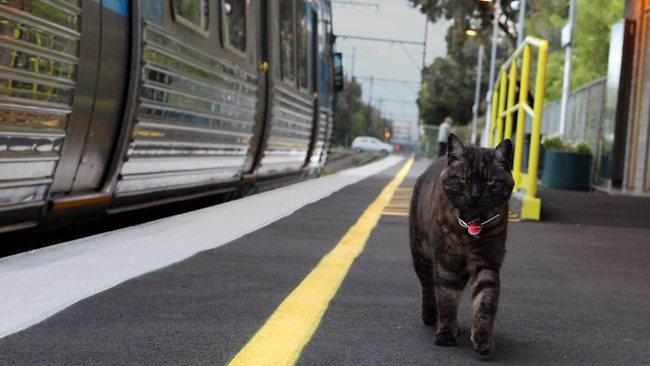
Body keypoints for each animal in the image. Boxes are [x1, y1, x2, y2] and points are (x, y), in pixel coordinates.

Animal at [408, 134, 512, 354]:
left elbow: (485, 301)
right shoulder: (446, 263)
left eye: (490, 181)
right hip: (420, 254)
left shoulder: (487, 264)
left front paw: (482, 338)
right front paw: (445, 334)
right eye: (463, 179)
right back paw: (430, 315)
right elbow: (446, 298)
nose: (475, 194)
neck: (471, 223)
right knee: (427, 285)